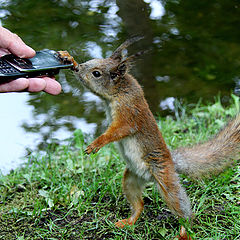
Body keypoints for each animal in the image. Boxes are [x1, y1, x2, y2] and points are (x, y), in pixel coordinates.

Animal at [58, 37, 240, 238]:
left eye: (96, 73)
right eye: (91, 61)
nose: (77, 69)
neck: (118, 93)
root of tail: (171, 162)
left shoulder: (129, 114)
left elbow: (117, 131)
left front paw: (96, 144)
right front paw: (68, 57)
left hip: (165, 179)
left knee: (181, 208)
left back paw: (184, 231)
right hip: (131, 179)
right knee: (139, 204)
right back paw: (128, 221)